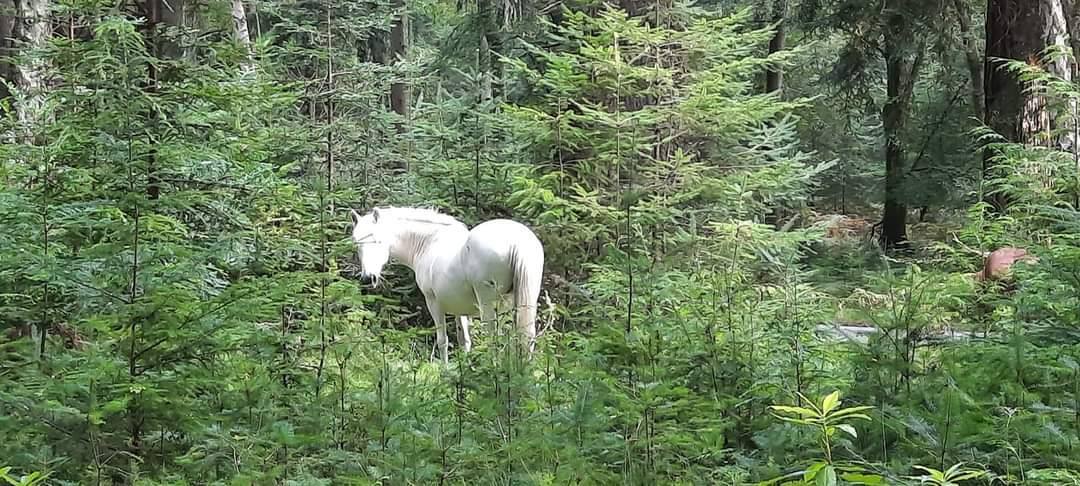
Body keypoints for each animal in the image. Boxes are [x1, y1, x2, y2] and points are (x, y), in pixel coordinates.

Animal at [349, 206, 545, 363]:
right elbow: (464, 339)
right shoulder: (461, 309)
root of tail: (516, 242)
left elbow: (442, 341)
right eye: (357, 243)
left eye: (378, 240)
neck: (428, 243)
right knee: (527, 336)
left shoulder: (433, 303)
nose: (368, 278)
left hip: (488, 306)